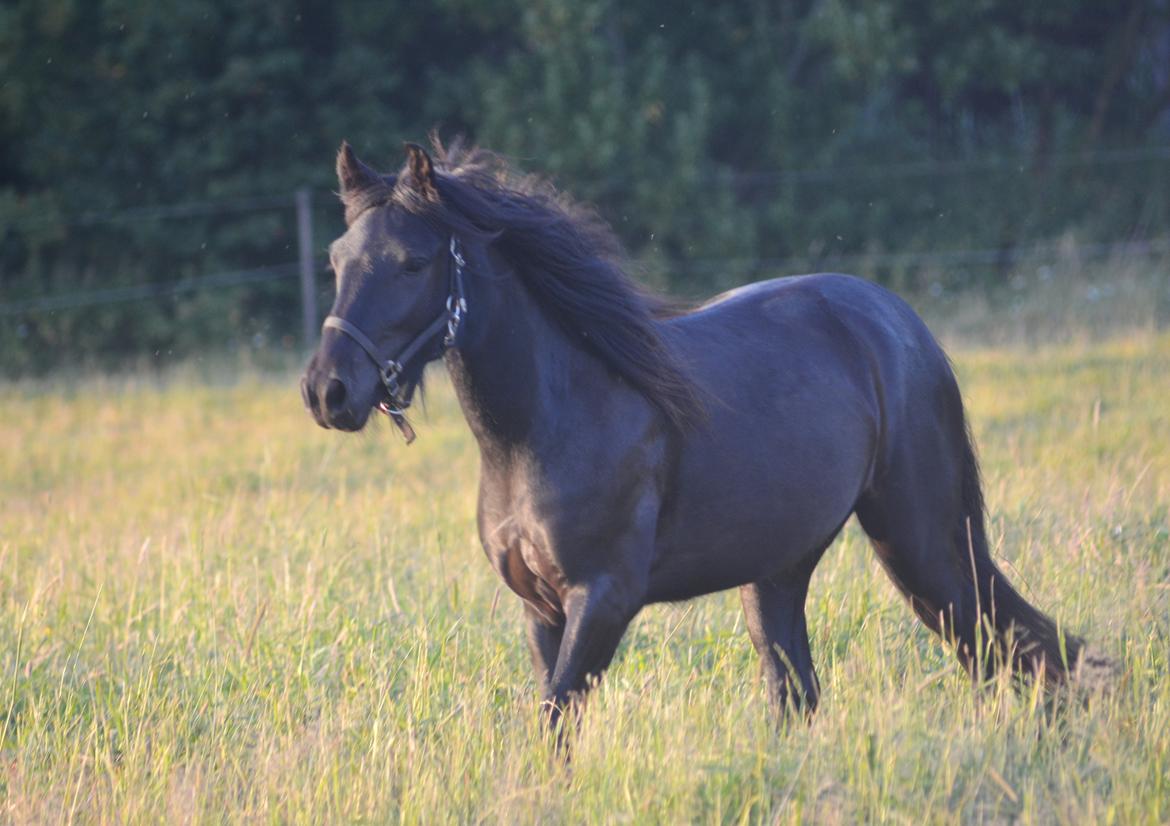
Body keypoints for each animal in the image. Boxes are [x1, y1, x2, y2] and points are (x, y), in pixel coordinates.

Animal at [301, 141, 1085, 725]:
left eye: (412, 262)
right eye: (335, 260)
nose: (327, 390)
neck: (545, 424)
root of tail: (904, 326)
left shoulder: (603, 600)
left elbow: (556, 715)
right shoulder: (540, 608)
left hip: (920, 542)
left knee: (1009, 647)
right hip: (780, 570)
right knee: (803, 691)